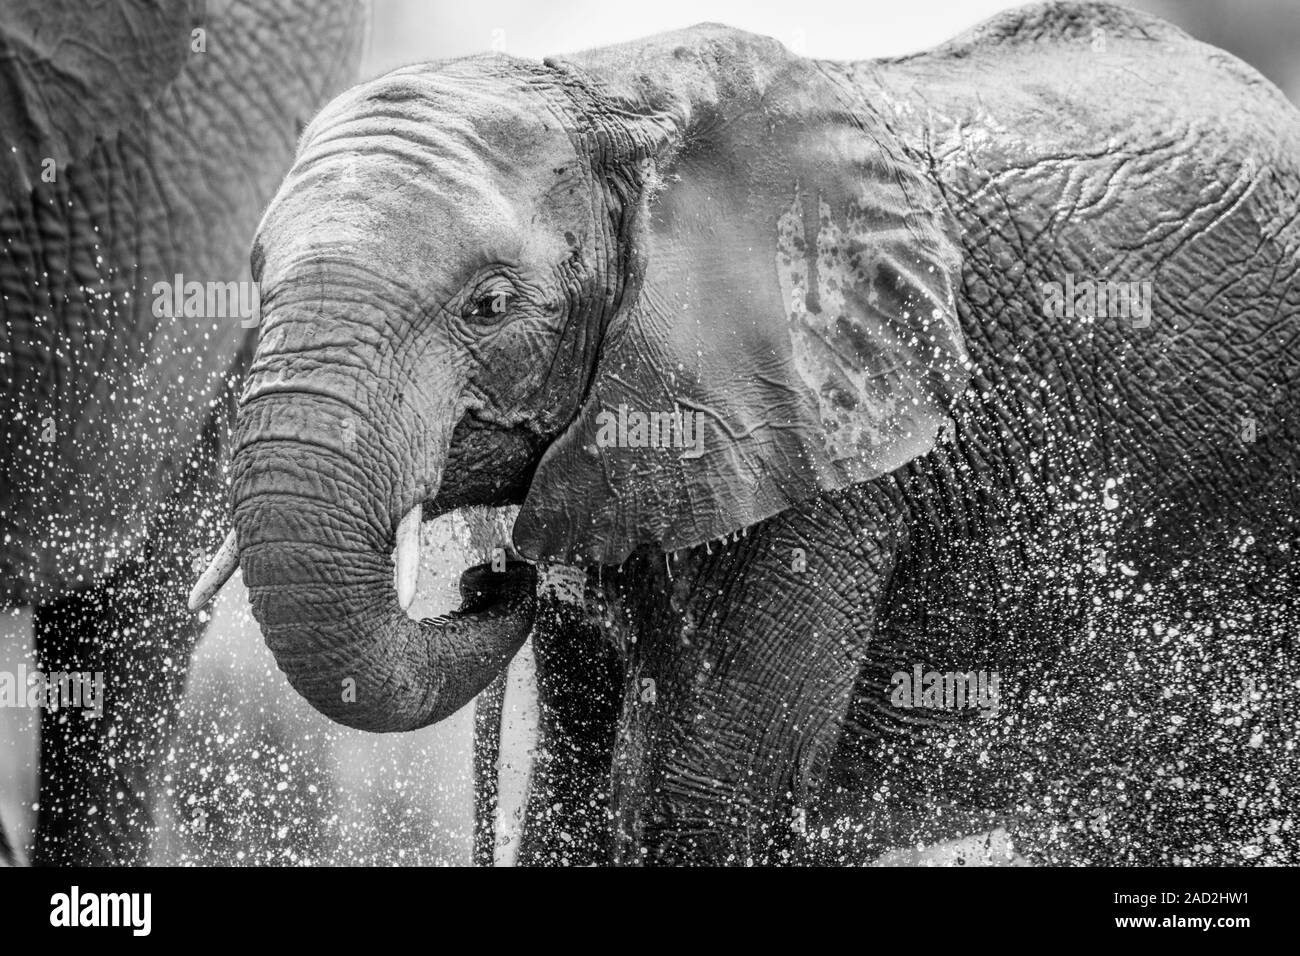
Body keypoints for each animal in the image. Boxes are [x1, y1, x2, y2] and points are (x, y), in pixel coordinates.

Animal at [192, 1, 1300, 868]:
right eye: (254, 282)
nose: (489, 578)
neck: (606, 95)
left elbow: (703, 799)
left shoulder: (836, 458)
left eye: (489, 305)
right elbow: (564, 795)